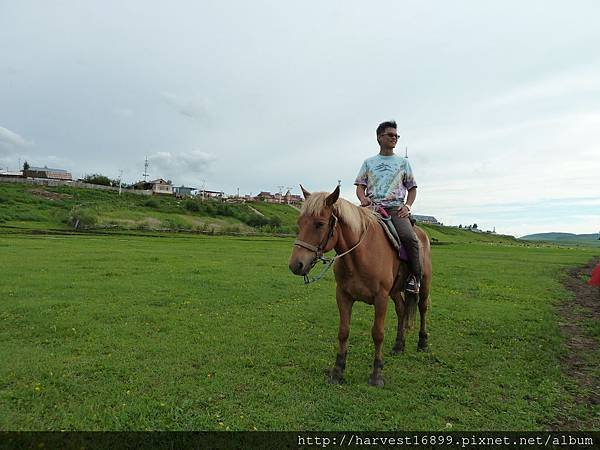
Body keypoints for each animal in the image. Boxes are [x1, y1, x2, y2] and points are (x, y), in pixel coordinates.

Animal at [290, 185, 432, 386]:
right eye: (300, 222)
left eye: (319, 224)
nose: (296, 265)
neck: (359, 254)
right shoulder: (343, 295)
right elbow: (343, 332)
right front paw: (338, 371)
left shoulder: (381, 298)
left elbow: (378, 334)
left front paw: (377, 374)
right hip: (395, 291)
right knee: (402, 309)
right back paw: (399, 346)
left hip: (424, 283)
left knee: (422, 307)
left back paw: (423, 342)